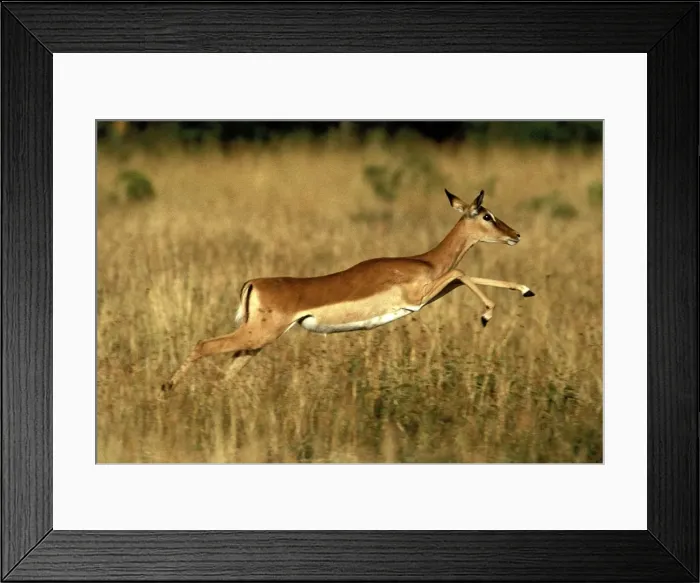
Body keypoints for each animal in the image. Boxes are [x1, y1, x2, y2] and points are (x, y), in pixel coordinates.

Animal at [162, 189, 534, 391]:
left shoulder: (429, 293)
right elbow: (461, 271)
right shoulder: (417, 298)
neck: (425, 261)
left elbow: (461, 276)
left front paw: (526, 289)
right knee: (204, 345)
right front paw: (486, 315)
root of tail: (252, 283)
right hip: (258, 335)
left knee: (227, 369)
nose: (515, 235)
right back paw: (166, 387)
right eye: (486, 215)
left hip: (257, 341)